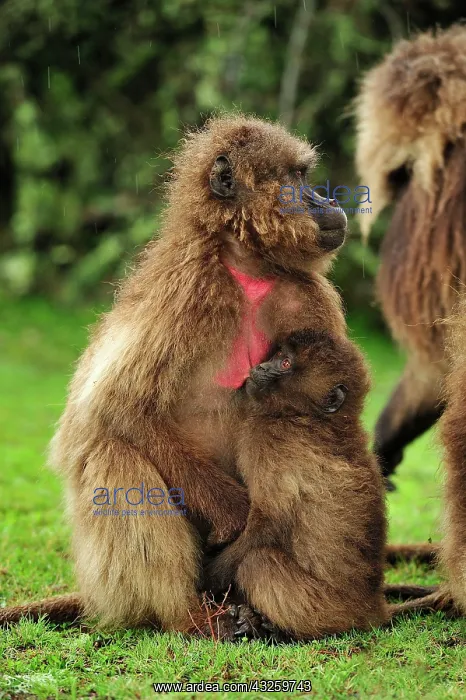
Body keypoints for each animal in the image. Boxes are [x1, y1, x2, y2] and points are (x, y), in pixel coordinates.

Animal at [0, 115, 349, 637]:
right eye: (297, 177)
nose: (328, 201)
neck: (245, 269)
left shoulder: (308, 297)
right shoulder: (185, 291)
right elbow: (116, 407)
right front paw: (238, 518)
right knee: (114, 454)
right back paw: (190, 616)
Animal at [204, 329, 390, 639]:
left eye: (285, 364)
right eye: (280, 355)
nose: (260, 367)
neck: (311, 417)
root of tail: (372, 607)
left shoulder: (269, 438)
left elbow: (268, 523)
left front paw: (208, 577)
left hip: (329, 609)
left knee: (257, 563)